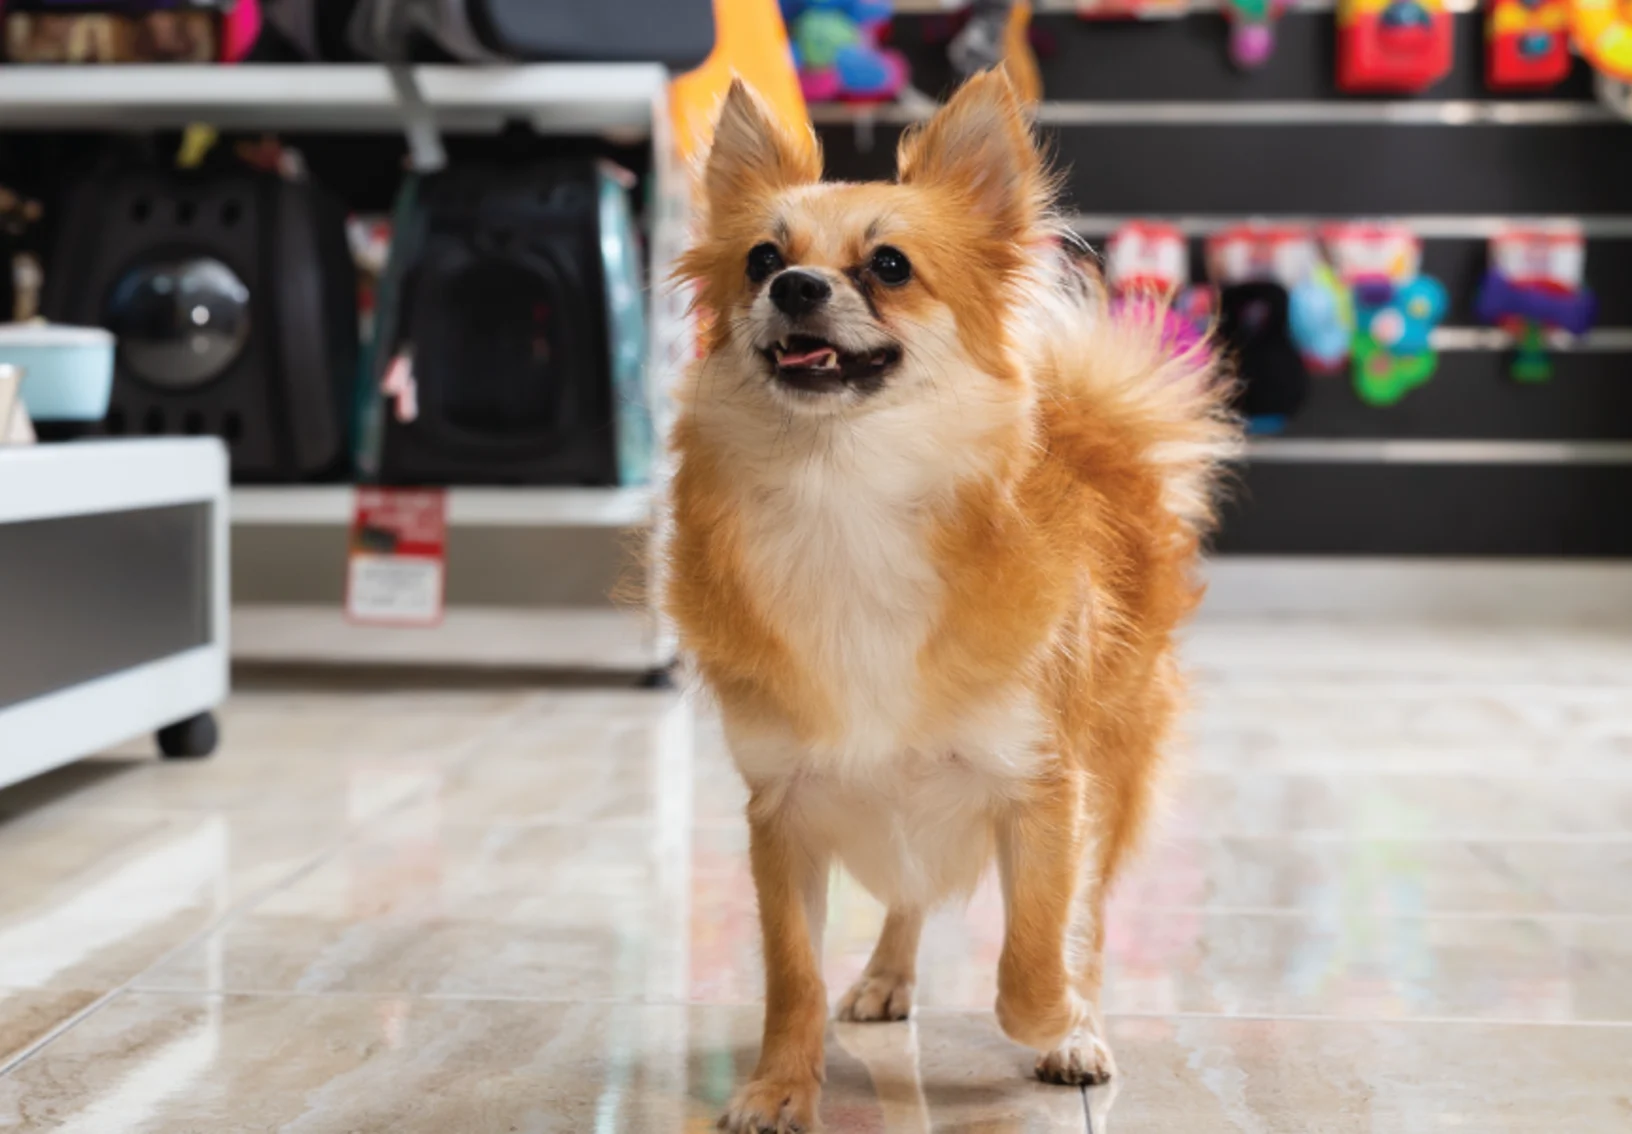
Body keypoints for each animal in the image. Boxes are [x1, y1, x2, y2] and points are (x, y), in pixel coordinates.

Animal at [662, 70, 1233, 1134]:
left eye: (890, 266)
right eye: (762, 258)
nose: (795, 287)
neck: (842, 494)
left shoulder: (1044, 791)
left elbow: (1034, 960)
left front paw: (1066, 1025)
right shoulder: (782, 810)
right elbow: (792, 976)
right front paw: (778, 1085)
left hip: (1112, 771)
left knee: (1086, 918)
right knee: (908, 898)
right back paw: (889, 978)